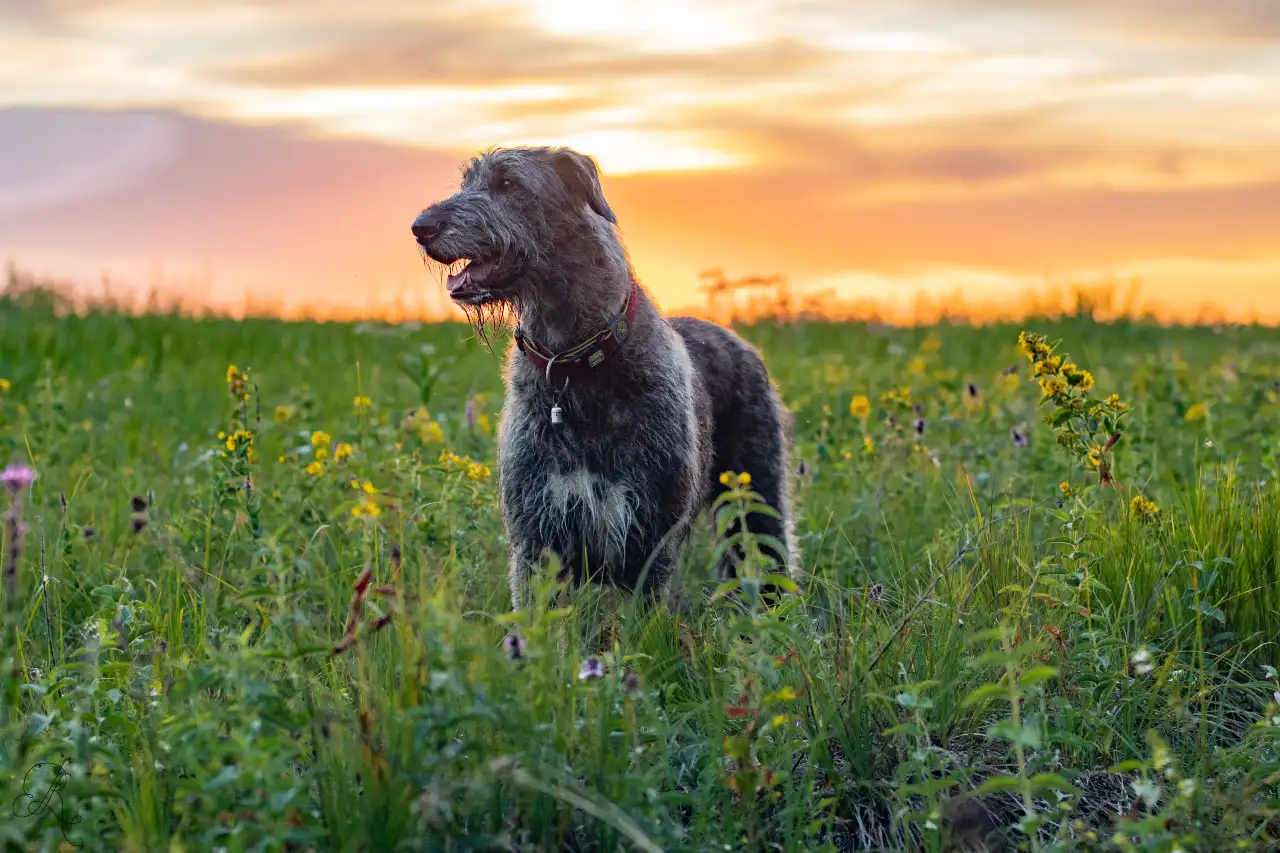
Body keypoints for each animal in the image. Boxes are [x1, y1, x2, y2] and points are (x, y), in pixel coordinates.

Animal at [412, 146, 798, 604]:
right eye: (467, 182)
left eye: (508, 182)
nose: (421, 227)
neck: (574, 364)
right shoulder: (535, 534)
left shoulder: (648, 535)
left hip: (758, 487)